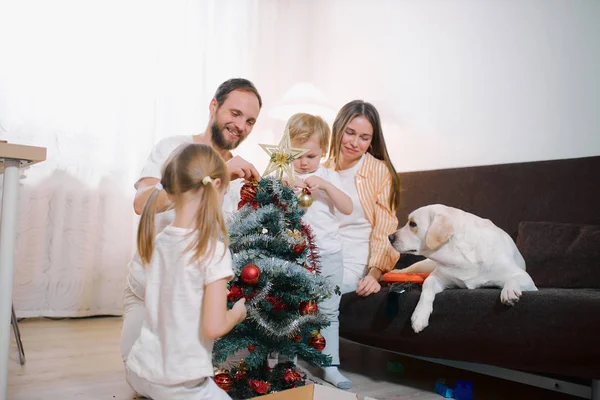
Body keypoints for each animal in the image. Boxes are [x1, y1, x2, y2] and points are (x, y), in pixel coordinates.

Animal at [390, 205, 540, 332]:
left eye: (412, 224)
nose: (389, 236)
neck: (458, 254)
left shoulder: (526, 278)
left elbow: (513, 279)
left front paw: (509, 291)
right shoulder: (437, 278)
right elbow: (426, 287)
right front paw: (420, 315)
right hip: (424, 265)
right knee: (409, 269)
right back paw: (395, 273)